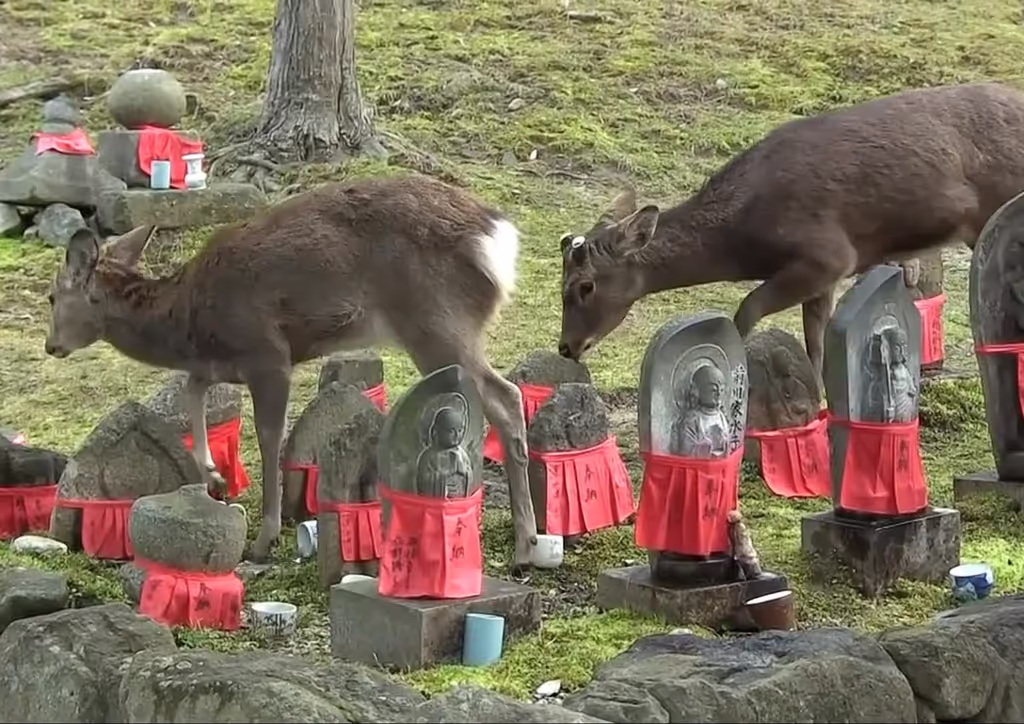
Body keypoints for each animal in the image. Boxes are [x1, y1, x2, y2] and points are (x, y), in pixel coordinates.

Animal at [43, 173, 539, 570]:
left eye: (51, 296)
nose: (52, 345)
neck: (189, 318)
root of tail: (498, 240)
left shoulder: (267, 351)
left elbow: (269, 438)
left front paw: (263, 539)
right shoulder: (223, 361)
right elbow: (193, 389)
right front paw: (215, 477)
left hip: (437, 321)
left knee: (505, 397)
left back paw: (525, 544)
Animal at [556, 81, 1024, 385]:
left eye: (584, 286)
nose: (566, 347)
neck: (744, 240)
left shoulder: (829, 254)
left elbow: (746, 310)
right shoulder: (825, 277)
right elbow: (816, 340)